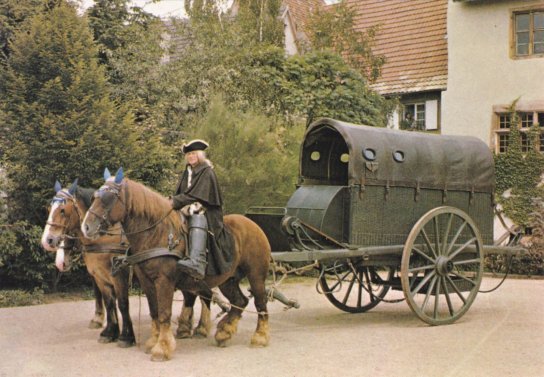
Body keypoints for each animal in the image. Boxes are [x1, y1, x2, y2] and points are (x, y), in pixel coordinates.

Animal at [82, 169, 270, 360]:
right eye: (94, 197)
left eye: (109, 197)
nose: (86, 227)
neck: (157, 234)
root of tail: (254, 225)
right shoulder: (146, 281)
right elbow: (154, 311)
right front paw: (153, 341)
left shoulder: (163, 280)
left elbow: (164, 313)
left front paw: (162, 348)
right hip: (227, 279)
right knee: (240, 301)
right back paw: (224, 332)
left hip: (256, 275)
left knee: (260, 303)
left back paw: (259, 337)